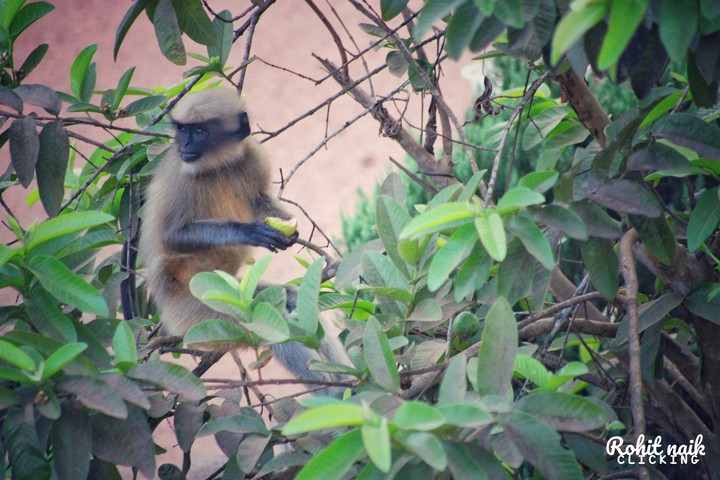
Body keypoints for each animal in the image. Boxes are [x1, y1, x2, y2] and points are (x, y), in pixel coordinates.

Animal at [140, 87, 347, 396]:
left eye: (198, 131)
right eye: (183, 130)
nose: (184, 143)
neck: (218, 165)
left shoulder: (251, 155)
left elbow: (258, 200)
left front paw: (288, 230)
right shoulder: (181, 175)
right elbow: (172, 238)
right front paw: (251, 232)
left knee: (288, 298)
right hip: (196, 310)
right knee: (262, 318)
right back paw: (337, 393)